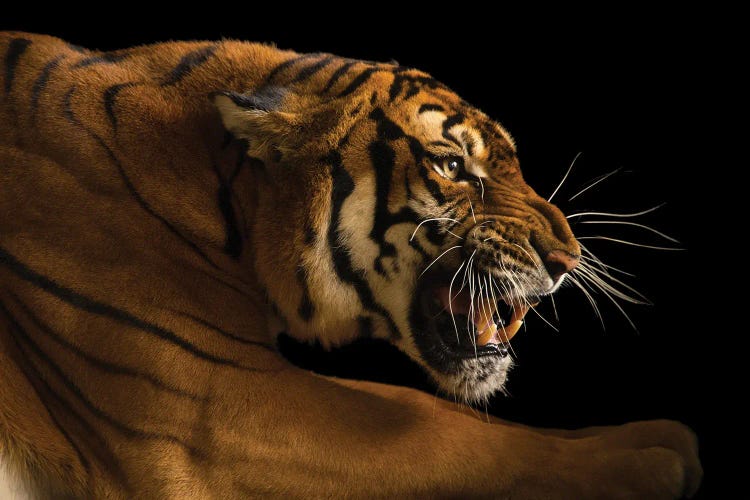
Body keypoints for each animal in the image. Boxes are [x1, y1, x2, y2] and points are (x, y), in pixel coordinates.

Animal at [0, 33, 704, 498]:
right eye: (452, 165)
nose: (568, 259)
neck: (225, 191)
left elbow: (436, 408)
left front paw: (655, 435)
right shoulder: (208, 412)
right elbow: (433, 427)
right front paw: (651, 466)